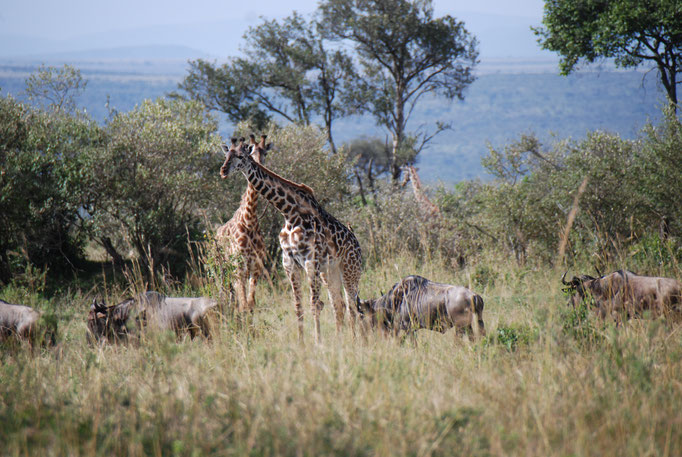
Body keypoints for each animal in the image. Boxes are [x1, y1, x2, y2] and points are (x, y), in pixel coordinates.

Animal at [215, 134, 268, 312]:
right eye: (226, 155)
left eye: (240, 156)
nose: (223, 171)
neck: (249, 220)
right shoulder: (239, 265)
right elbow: (244, 304)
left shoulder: (256, 266)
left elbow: (250, 304)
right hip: (221, 267)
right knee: (223, 292)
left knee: (232, 296)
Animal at [220, 137, 364, 344]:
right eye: (226, 155)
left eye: (240, 156)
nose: (223, 170)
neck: (289, 213)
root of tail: (357, 245)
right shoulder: (289, 263)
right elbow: (298, 306)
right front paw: (302, 343)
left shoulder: (311, 261)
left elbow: (315, 304)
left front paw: (318, 342)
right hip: (330, 272)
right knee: (339, 304)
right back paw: (340, 339)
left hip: (350, 271)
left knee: (352, 305)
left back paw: (353, 340)